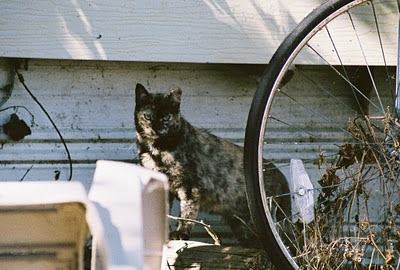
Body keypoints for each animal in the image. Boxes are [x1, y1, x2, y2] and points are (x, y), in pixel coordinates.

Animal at [135, 84, 290, 247]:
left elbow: (186, 211)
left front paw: (180, 233)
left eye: (166, 117)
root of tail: (280, 175)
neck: (158, 151)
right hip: (242, 226)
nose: (156, 129)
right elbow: (163, 210)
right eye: (148, 117)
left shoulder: (190, 186)